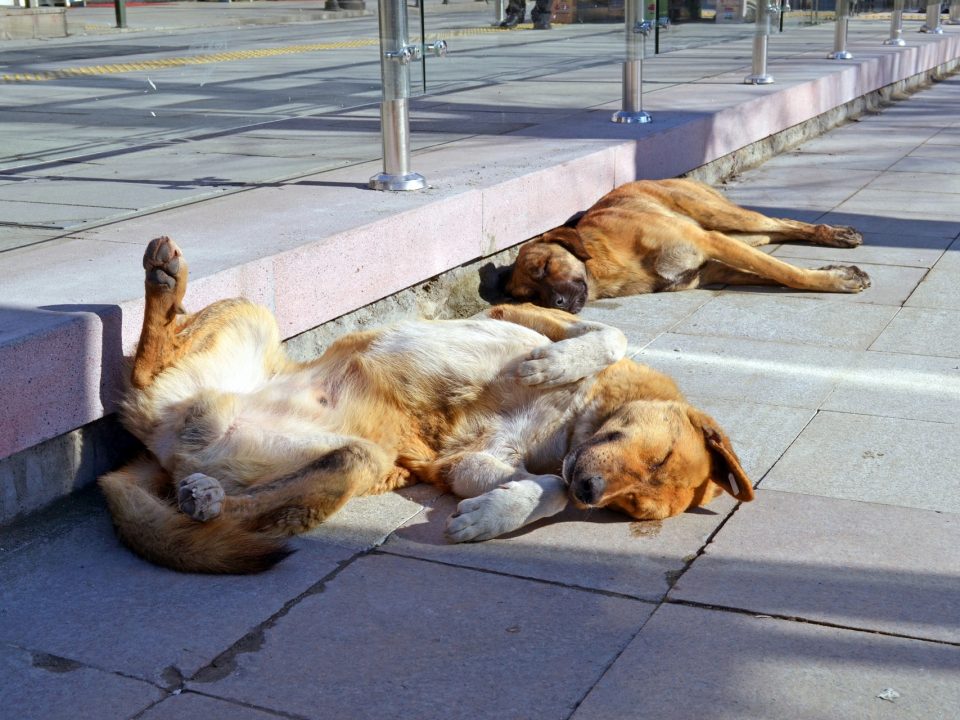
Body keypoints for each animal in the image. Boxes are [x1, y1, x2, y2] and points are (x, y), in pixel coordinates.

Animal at [99, 236, 756, 572]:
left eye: (631, 510)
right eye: (659, 456)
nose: (592, 493)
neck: (573, 425)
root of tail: (154, 451)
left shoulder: (462, 465)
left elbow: (544, 487)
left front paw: (491, 517)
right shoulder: (517, 314)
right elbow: (607, 335)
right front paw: (551, 365)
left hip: (355, 460)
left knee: (251, 503)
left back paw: (203, 497)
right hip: (249, 314)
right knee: (147, 360)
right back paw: (163, 280)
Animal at [506, 178, 872, 312]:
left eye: (544, 267)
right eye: (530, 297)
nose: (556, 303)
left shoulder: (708, 242)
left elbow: (786, 273)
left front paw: (836, 280)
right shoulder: (711, 269)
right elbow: (774, 273)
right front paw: (835, 273)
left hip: (719, 217)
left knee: (781, 223)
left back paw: (835, 234)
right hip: (735, 232)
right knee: (774, 233)